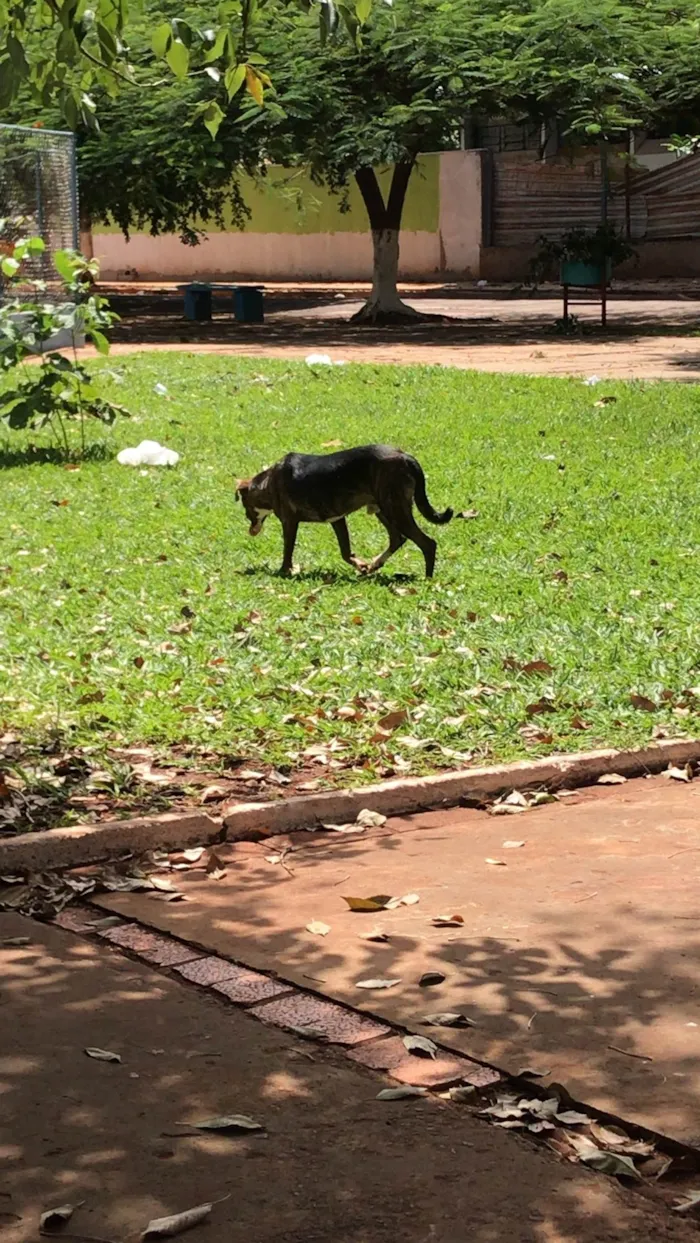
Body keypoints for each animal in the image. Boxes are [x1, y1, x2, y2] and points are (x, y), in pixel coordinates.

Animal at [234, 442, 455, 576]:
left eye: (246, 508)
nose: (250, 530)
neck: (268, 483)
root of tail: (406, 457)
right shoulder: (336, 519)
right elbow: (345, 552)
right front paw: (361, 565)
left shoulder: (289, 522)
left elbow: (287, 549)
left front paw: (283, 571)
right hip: (384, 510)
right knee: (397, 539)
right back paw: (375, 564)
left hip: (395, 508)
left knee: (427, 543)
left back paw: (427, 579)